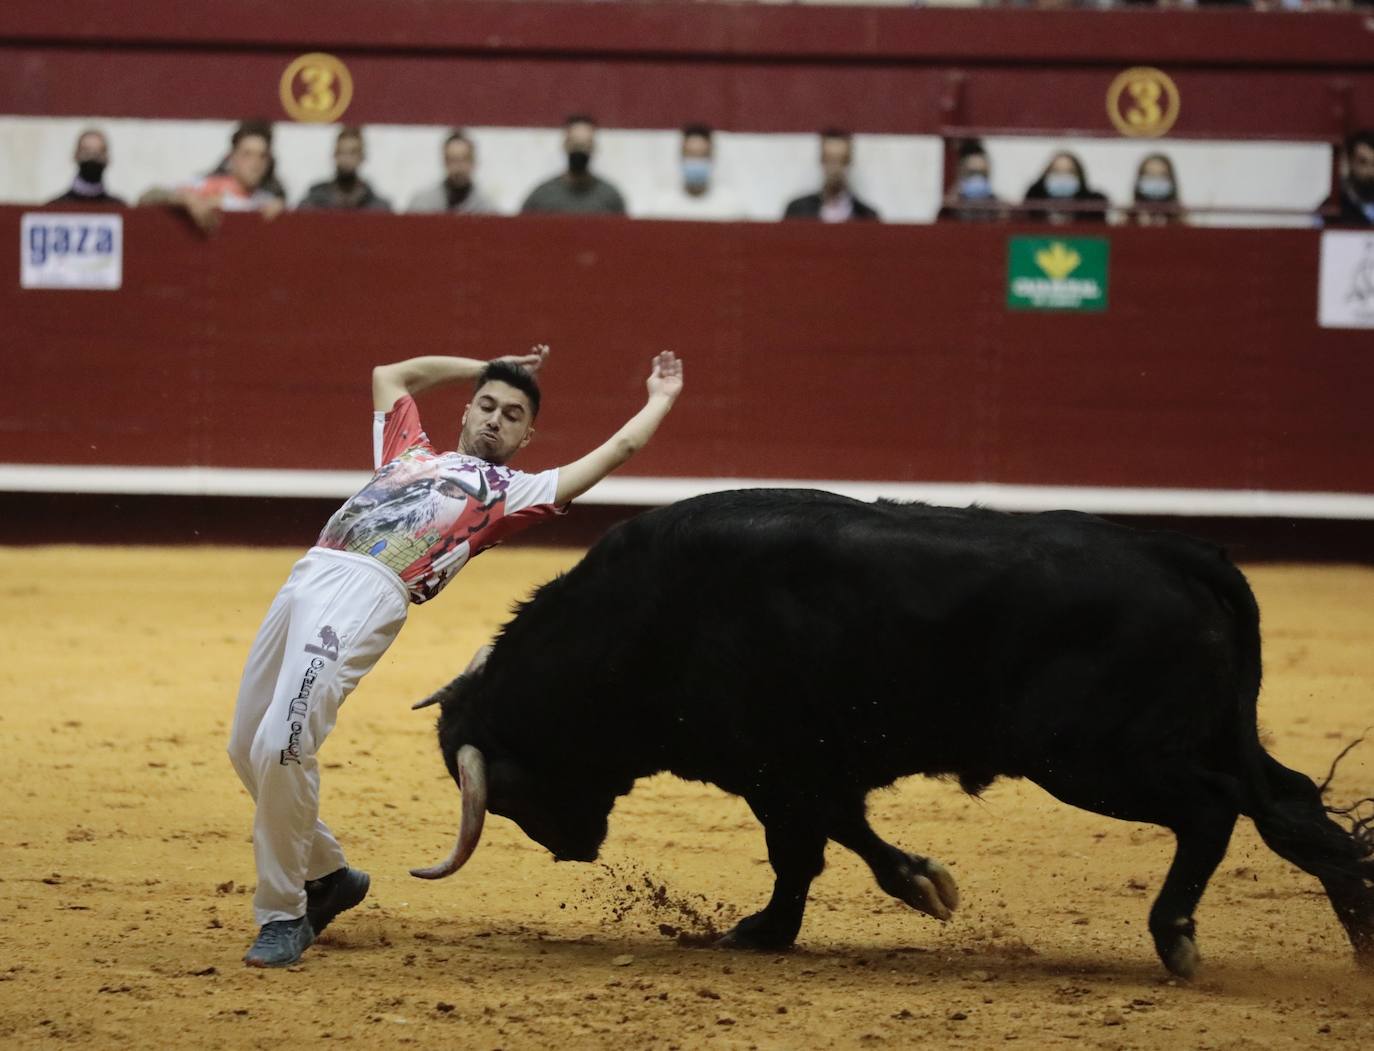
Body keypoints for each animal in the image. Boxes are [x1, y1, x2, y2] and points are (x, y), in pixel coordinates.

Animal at [409, 486, 1374, 978]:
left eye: (514, 790)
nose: (572, 847)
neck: (633, 621)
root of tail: (1184, 553)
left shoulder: (783, 771)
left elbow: (814, 847)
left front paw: (807, 917)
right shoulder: (801, 773)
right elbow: (822, 846)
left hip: (1098, 757)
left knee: (1215, 811)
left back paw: (1175, 934)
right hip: (1195, 738)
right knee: (1295, 809)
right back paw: (1361, 942)